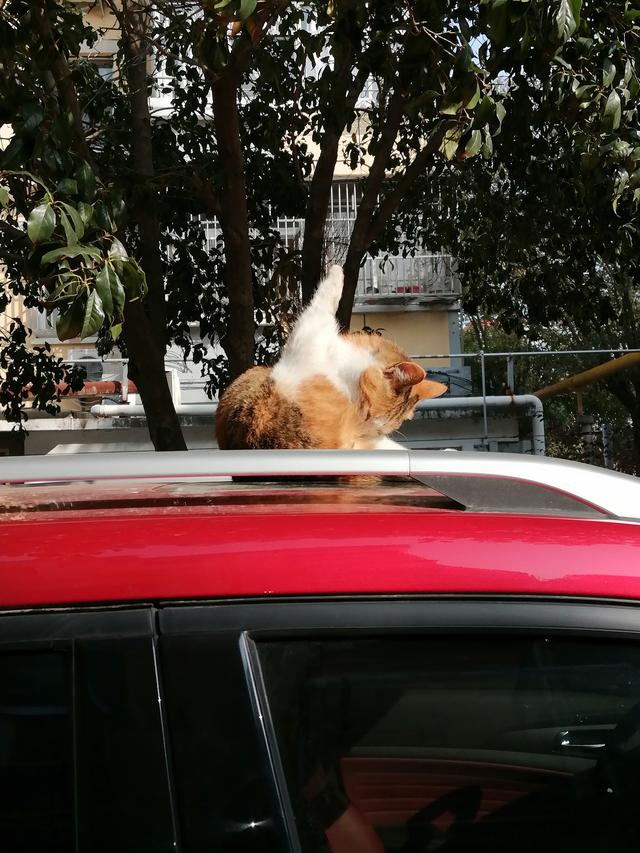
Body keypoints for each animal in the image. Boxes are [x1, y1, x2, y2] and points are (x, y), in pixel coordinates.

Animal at [215, 265, 447, 450]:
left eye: (382, 427)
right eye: (368, 413)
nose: (361, 429)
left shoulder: (308, 331)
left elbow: (322, 299)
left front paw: (336, 270)